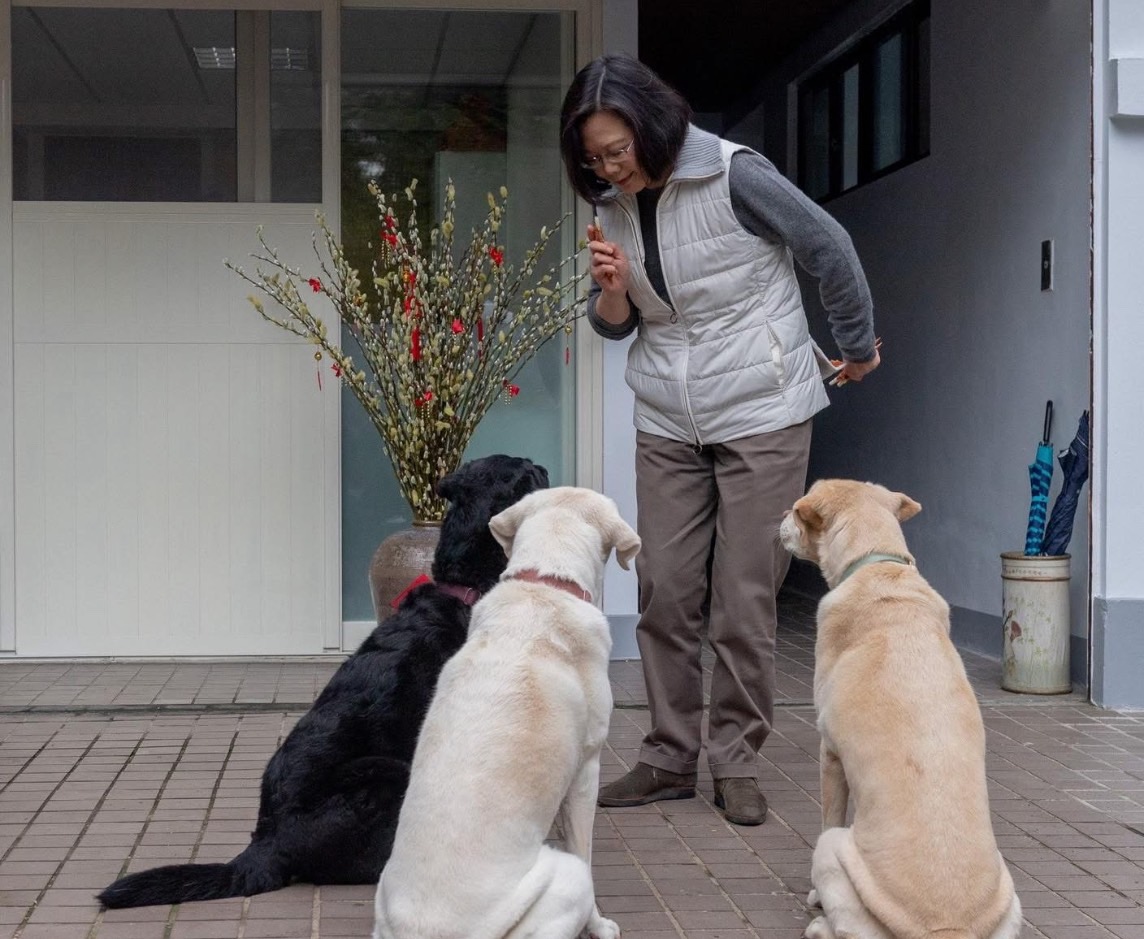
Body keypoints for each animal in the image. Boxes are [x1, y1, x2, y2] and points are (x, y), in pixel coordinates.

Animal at [375, 487, 645, 933]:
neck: (547, 583)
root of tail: (426, 930)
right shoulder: (587, 767)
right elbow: (583, 847)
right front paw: (600, 925)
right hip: (567, 877)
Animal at [777, 480, 1020, 937]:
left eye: (798, 513)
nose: (780, 516)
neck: (877, 566)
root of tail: (946, 926)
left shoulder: (829, 754)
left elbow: (829, 811)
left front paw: (813, 898)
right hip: (1010, 898)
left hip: (832, 849)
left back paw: (818, 924)